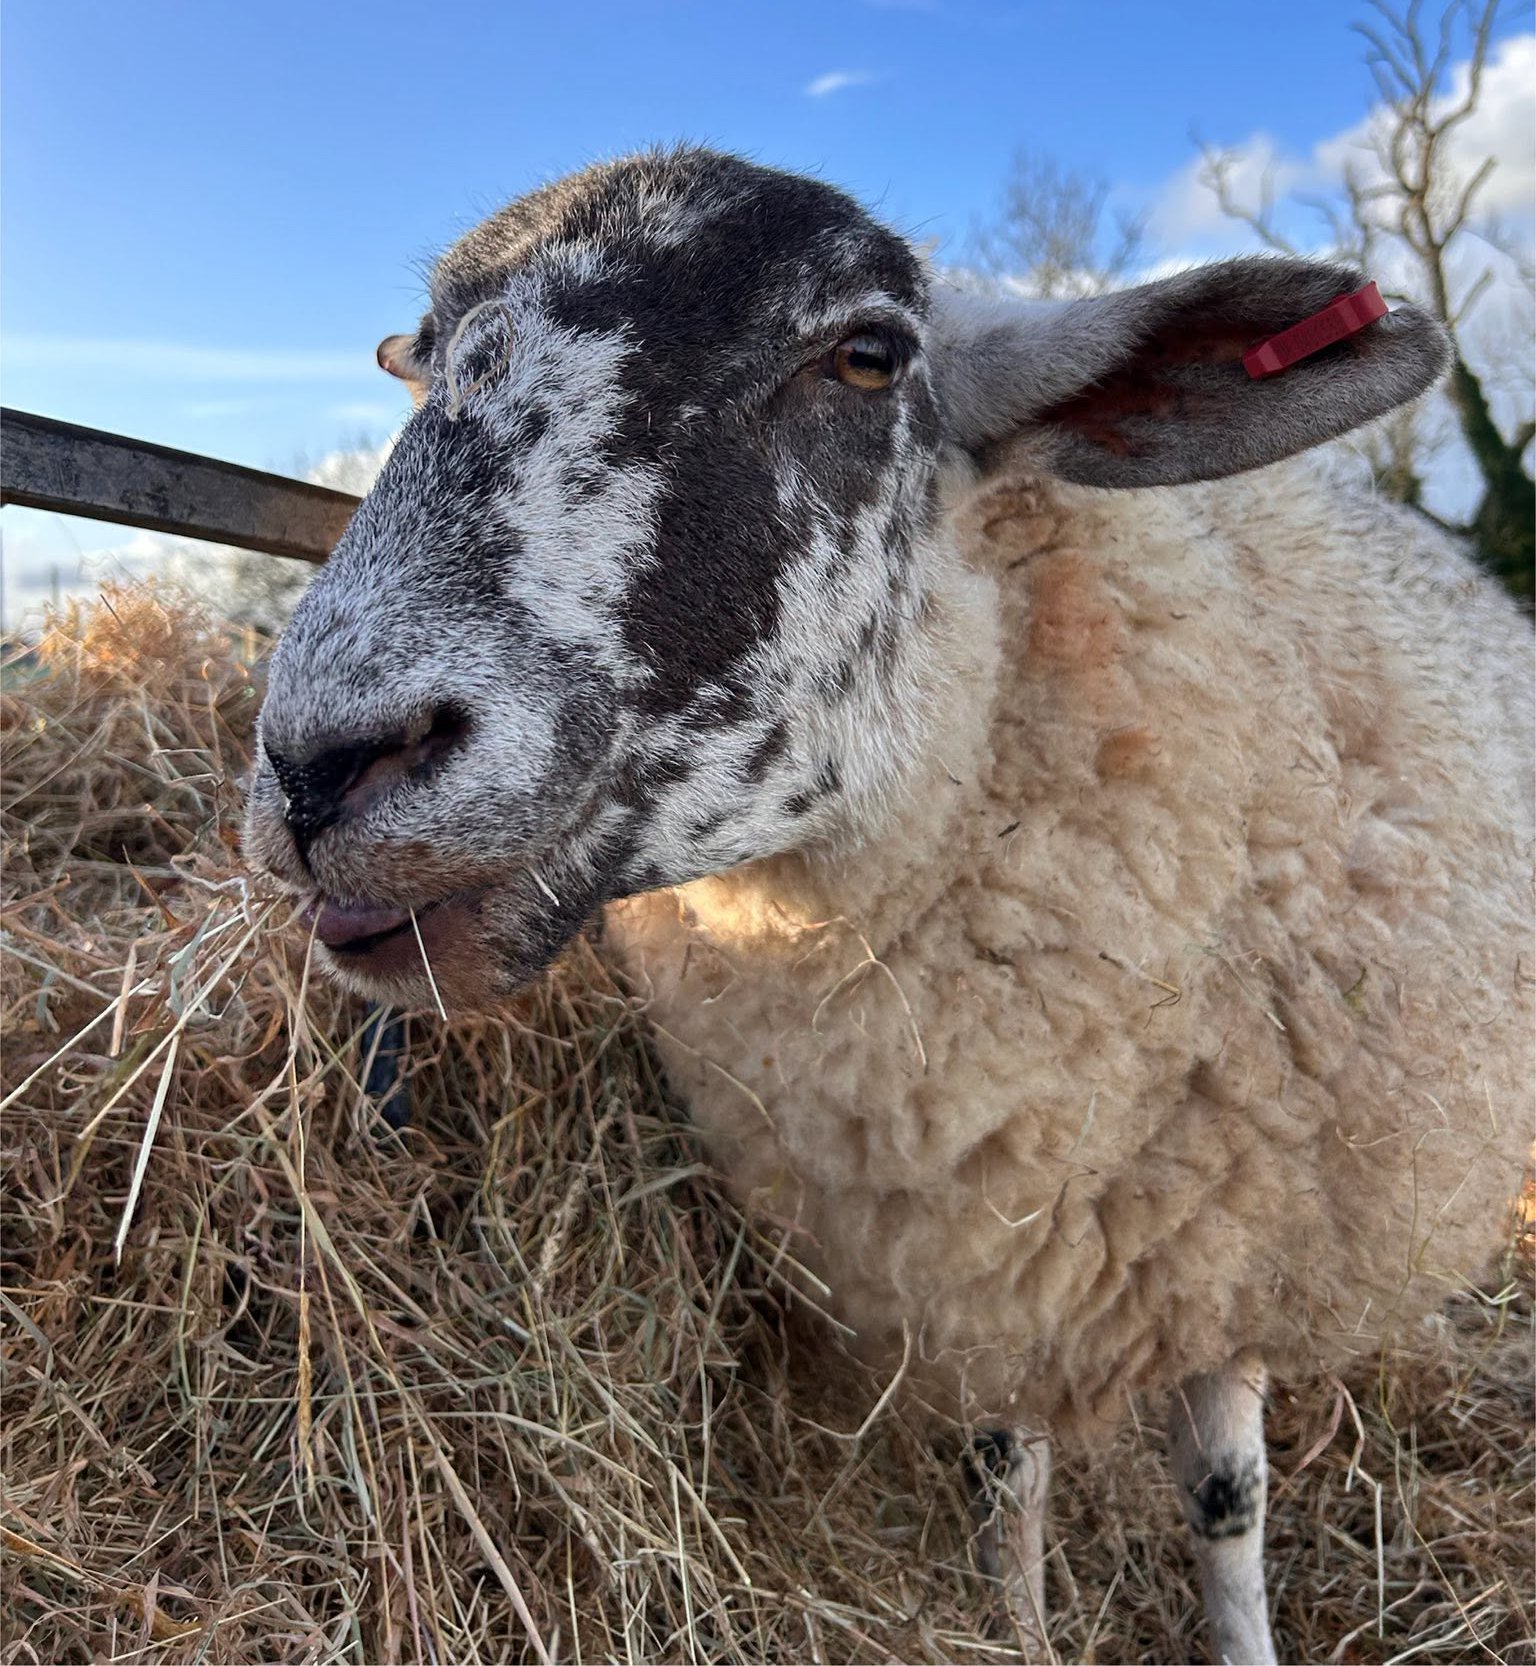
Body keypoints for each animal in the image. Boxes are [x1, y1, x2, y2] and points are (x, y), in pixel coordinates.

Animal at [244, 146, 1533, 1662]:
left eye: (866, 355)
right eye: (426, 362)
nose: (323, 760)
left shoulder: (1220, 1243)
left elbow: (1224, 1494)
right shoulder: (972, 1254)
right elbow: (1004, 1468)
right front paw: (1015, 1624)